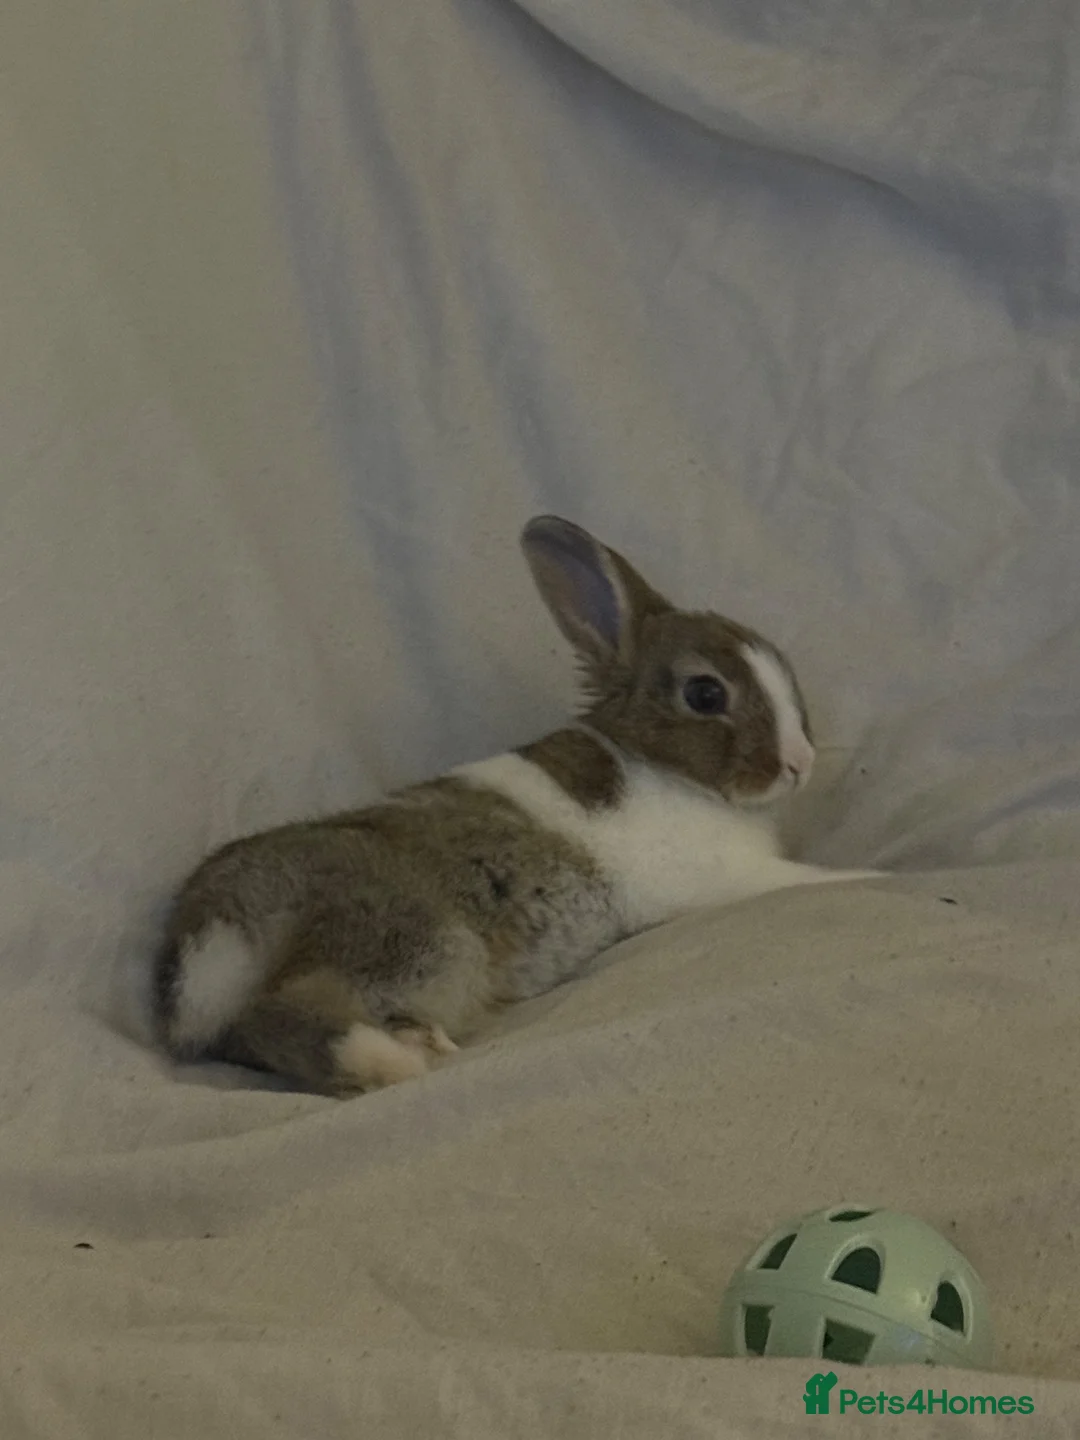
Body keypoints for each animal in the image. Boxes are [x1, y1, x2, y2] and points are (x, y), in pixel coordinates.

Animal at [154, 516, 875, 1096]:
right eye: (705, 693)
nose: (801, 763)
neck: (665, 769)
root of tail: (213, 924)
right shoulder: (730, 877)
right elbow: (807, 880)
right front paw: (873, 876)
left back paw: (415, 1042)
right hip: (412, 935)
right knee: (283, 1009)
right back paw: (391, 1064)